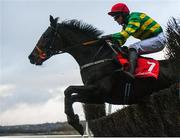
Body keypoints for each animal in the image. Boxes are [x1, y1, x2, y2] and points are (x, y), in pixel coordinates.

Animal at [28, 15, 179, 135]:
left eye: (45, 36)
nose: (31, 57)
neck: (97, 58)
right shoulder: (98, 96)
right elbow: (70, 96)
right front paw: (75, 121)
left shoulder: (99, 90)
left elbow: (68, 90)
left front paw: (75, 122)